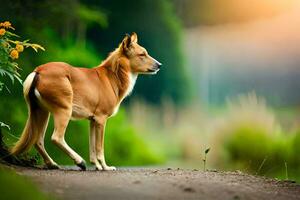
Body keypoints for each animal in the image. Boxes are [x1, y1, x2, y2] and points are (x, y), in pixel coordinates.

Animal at [10, 32, 162, 170]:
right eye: (142, 54)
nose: (159, 65)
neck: (113, 76)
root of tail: (38, 71)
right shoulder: (101, 119)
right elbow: (99, 147)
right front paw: (106, 167)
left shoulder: (92, 120)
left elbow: (92, 147)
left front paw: (97, 166)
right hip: (63, 109)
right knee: (56, 138)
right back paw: (79, 161)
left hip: (40, 111)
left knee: (38, 140)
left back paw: (52, 164)